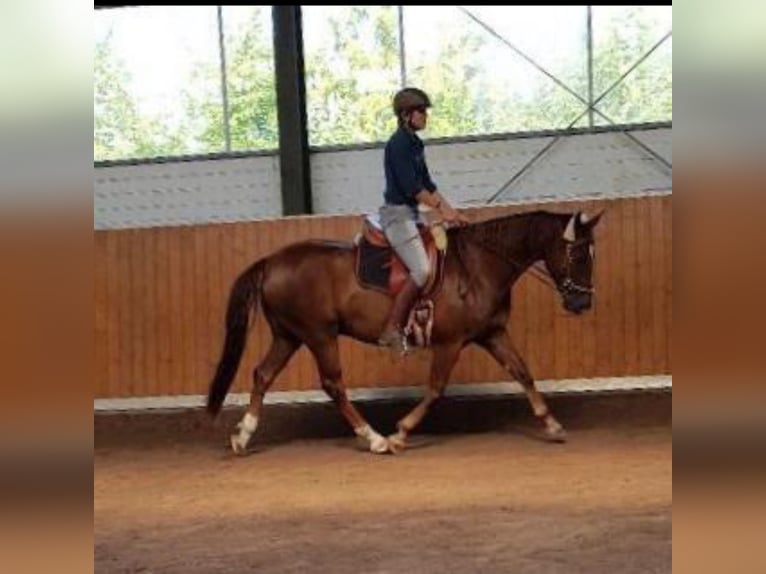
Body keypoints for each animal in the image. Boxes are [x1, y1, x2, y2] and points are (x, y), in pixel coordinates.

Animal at [207, 209, 604, 456]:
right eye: (578, 255)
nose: (582, 303)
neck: (479, 266)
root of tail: (272, 261)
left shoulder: (492, 333)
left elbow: (523, 373)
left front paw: (552, 424)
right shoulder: (450, 342)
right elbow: (435, 389)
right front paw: (400, 432)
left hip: (288, 336)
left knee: (262, 374)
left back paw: (243, 436)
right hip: (319, 335)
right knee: (333, 384)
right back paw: (374, 439)